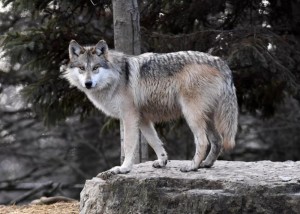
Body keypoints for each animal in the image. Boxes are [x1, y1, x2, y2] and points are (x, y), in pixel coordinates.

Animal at [64, 39, 238, 176]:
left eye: (95, 68)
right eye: (81, 68)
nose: (88, 83)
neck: (117, 77)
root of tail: (221, 63)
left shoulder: (129, 117)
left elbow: (128, 146)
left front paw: (124, 168)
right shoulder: (143, 119)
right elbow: (154, 141)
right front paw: (162, 161)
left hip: (191, 115)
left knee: (203, 141)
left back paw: (192, 166)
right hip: (207, 118)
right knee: (218, 140)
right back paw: (206, 164)